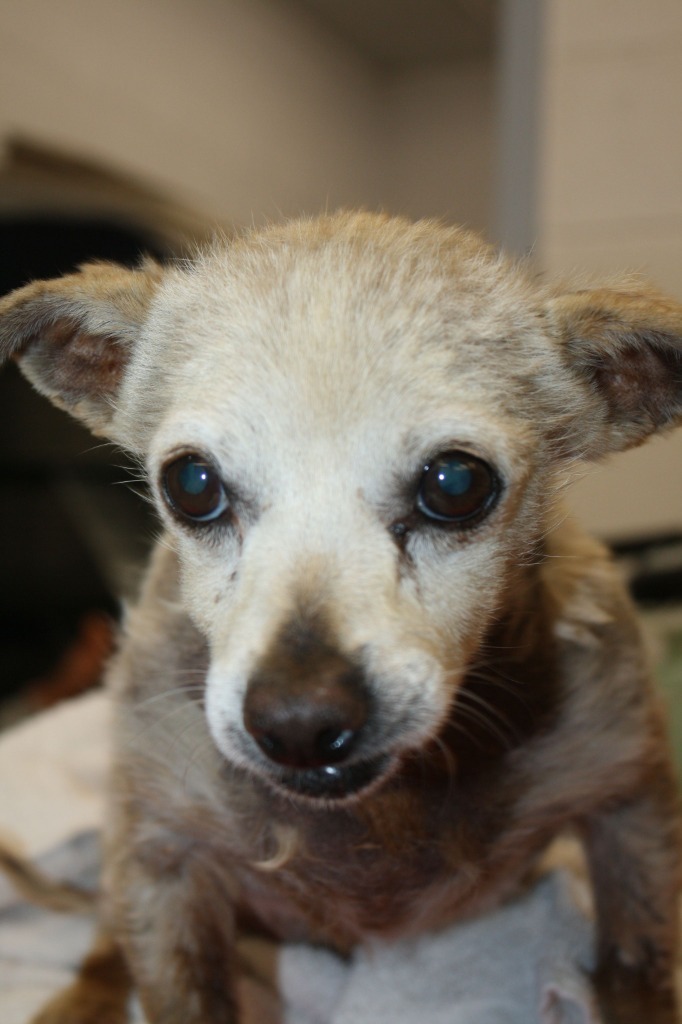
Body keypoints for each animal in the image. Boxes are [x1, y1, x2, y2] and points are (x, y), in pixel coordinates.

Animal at [1, 211, 679, 1019]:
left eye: (456, 483)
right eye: (192, 484)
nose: (300, 722)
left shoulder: (628, 810)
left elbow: (638, 971)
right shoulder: (163, 859)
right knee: (107, 942)